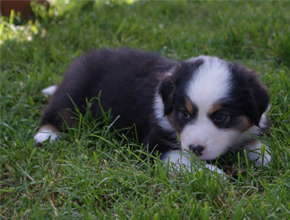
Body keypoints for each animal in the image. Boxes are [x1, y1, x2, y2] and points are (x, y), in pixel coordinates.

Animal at [34, 47, 272, 174]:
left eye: (220, 117)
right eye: (185, 114)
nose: (195, 148)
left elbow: (256, 144)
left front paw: (262, 155)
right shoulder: (154, 144)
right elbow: (185, 161)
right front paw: (214, 176)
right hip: (73, 93)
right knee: (55, 112)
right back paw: (46, 135)